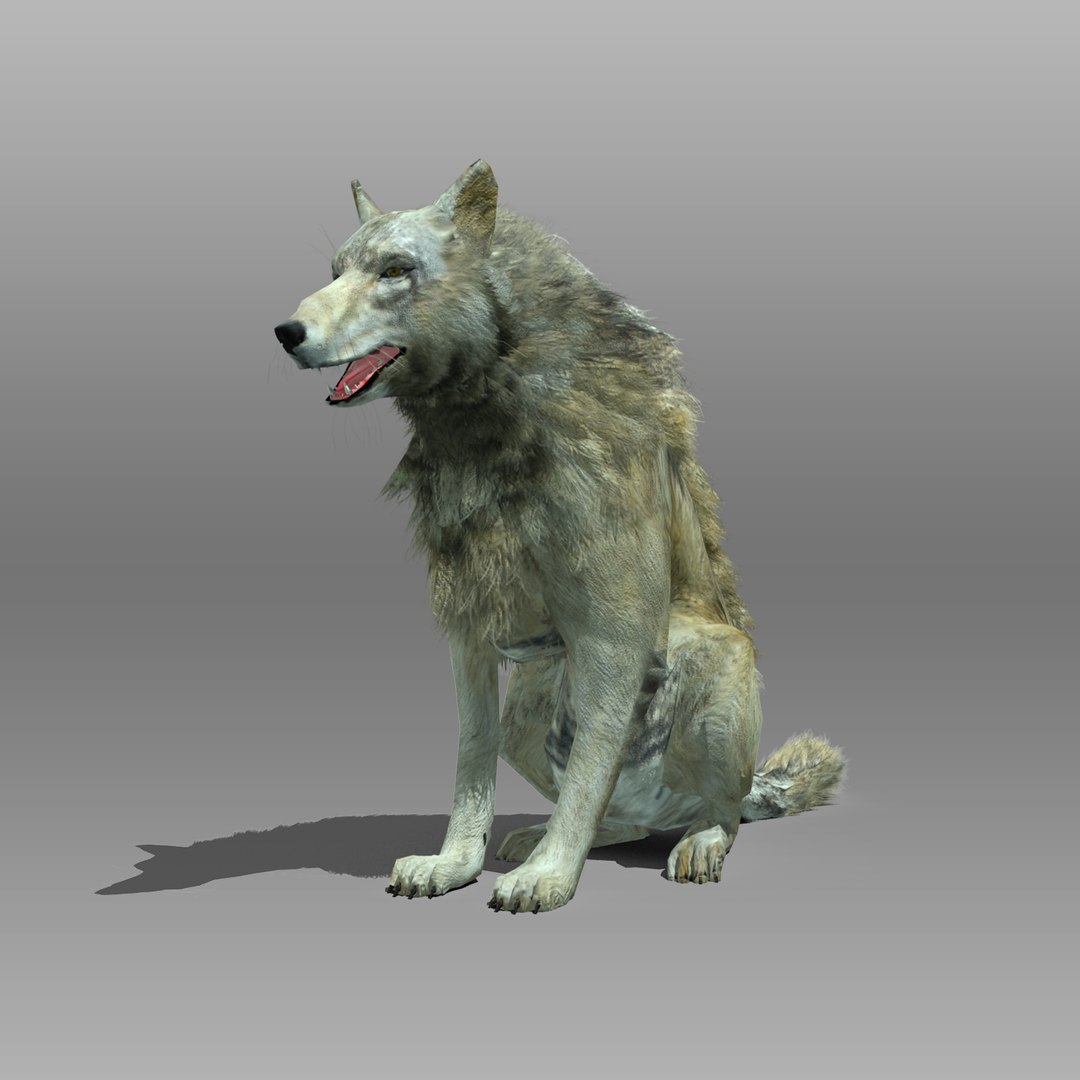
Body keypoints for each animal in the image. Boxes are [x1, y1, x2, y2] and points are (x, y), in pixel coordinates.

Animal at [274, 161, 845, 913]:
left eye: (395, 270)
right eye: (336, 272)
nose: (284, 331)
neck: (489, 421)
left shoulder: (612, 635)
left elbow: (588, 766)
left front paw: (548, 876)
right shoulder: (468, 631)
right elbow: (471, 755)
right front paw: (455, 864)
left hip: (716, 664)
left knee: (719, 812)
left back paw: (696, 843)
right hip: (532, 704)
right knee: (624, 816)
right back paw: (548, 834)